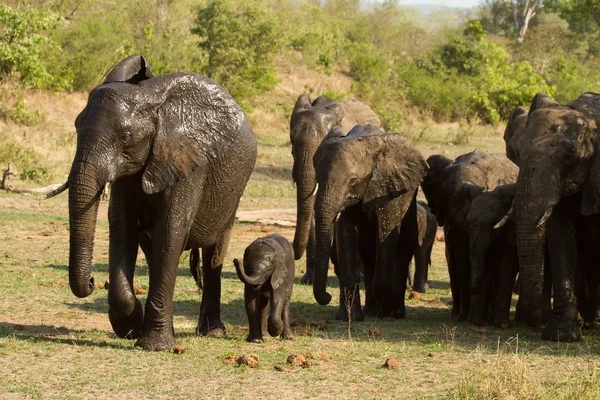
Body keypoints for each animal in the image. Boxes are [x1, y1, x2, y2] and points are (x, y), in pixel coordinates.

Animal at [45, 55, 256, 350]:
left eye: (126, 137)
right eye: (76, 127)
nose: (91, 281)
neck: (151, 99)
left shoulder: (187, 160)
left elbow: (171, 230)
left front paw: (153, 345)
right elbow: (122, 228)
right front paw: (131, 326)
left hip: (234, 192)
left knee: (214, 252)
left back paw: (212, 332)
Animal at [310, 125, 426, 318]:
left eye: (353, 181)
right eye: (317, 178)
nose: (327, 296)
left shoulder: (386, 188)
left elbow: (386, 232)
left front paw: (384, 309)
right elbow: (346, 234)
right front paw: (350, 318)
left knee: (402, 249)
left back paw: (393, 313)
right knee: (368, 254)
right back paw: (371, 311)